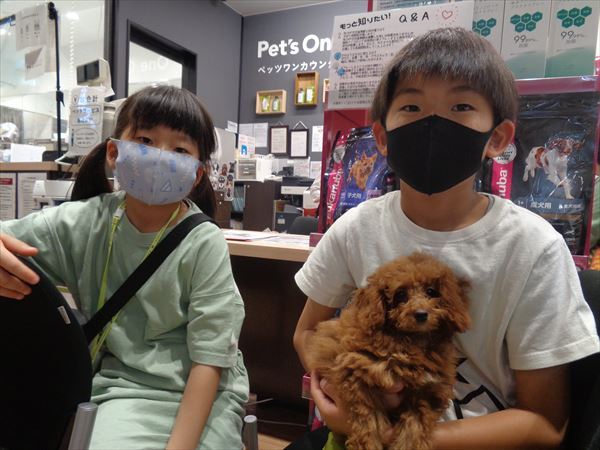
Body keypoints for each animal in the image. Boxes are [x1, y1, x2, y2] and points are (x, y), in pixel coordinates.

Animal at [307, 253, 471, 450]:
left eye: (431, 291)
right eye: (400, 294)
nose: (421, 314)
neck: (410, 341)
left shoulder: (429, 391)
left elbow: (414, 429)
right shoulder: (358, 373)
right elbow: (368, 420)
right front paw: (367, 445)